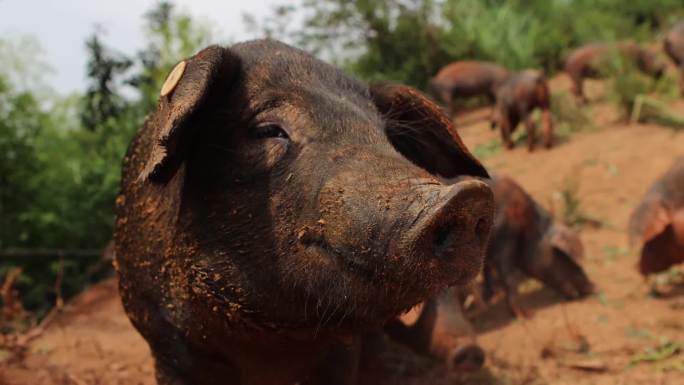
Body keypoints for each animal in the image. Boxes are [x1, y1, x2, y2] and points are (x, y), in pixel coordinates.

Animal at [115, 38, 494, 384]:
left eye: (388, 138)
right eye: (268, 130)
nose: (466, 198)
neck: (268, 348)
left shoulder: (343, 349)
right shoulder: (165, 345)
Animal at [484, 176, 596, 316]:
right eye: (565, 258)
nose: (595, 287)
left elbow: (487, 270)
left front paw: (491, 296)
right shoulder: (503, 241)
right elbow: (509, 278)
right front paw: (527, 315)